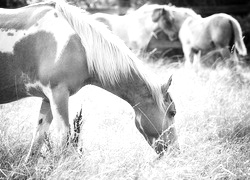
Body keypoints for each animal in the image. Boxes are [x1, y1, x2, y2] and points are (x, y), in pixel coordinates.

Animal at [0, 1, 177, 161]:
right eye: (172, 112)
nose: (176, 151)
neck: (81, 46)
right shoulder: (58, 93)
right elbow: (64, 138)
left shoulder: (47, 98)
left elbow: (38, 140)